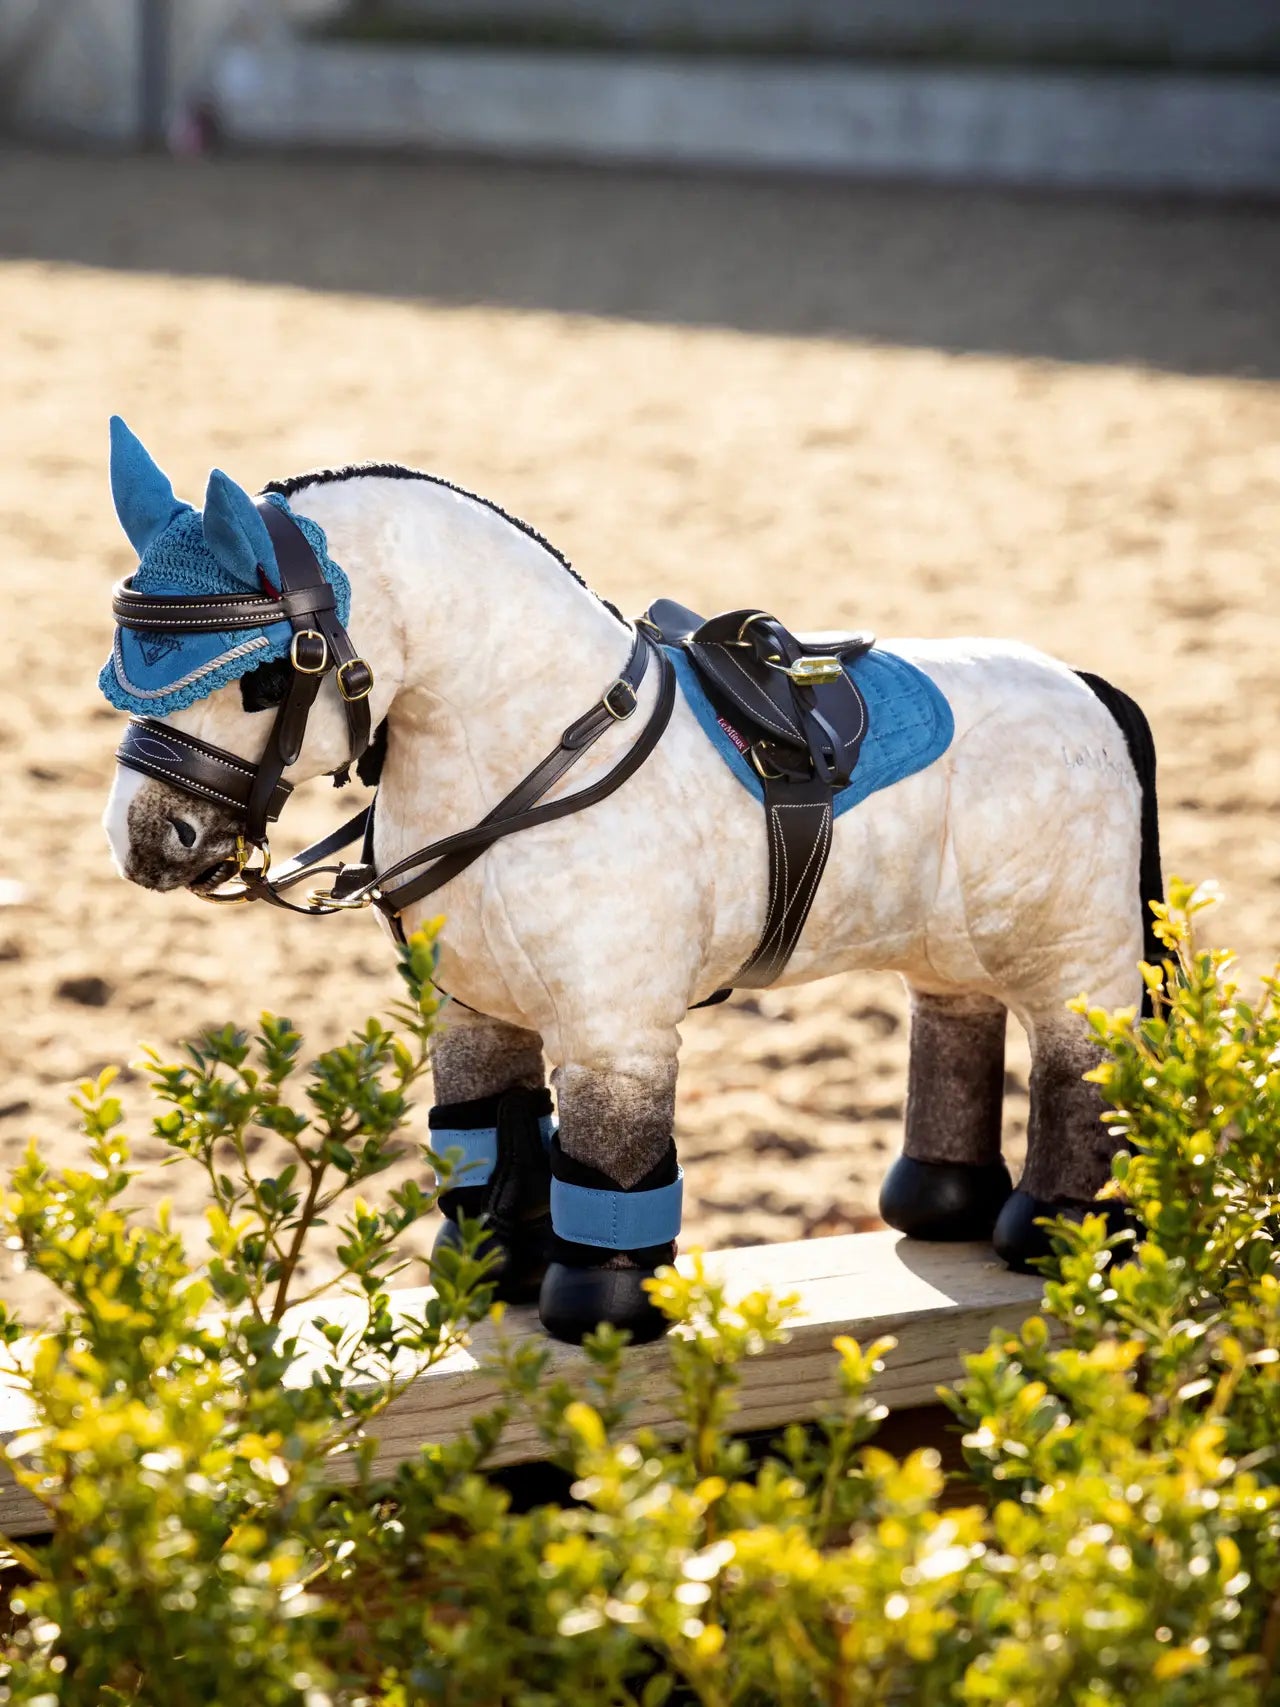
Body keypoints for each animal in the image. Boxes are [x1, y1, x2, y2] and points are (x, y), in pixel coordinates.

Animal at [100, 418, 1160, 1344]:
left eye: (265, 678)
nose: (146, 840)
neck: (532, 753)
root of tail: (1083, 683)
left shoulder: (616, 1035)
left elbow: (611, 1167)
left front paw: (600, 1313)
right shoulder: (473, 1013)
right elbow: (491, 1138)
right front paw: (492, 1271)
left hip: (1077, 960)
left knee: (1078, 1065)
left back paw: (1062, 1229)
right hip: (953, 945)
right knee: (956, 1018)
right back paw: (940, 1202)